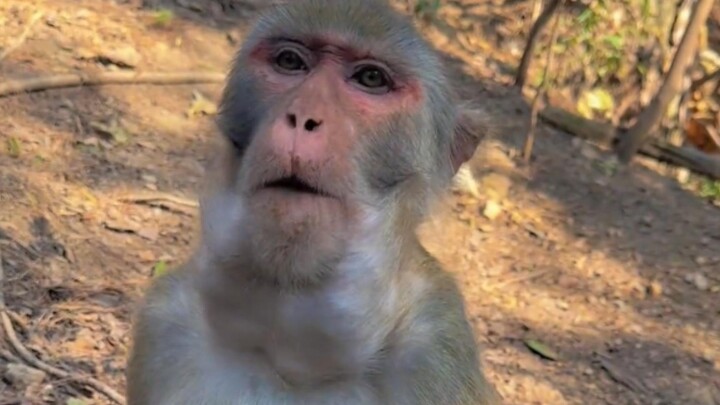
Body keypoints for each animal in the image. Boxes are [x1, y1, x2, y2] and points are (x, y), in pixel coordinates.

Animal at [126, 0, 501, 404]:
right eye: (290, 61)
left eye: (371, 78)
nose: (303, 116)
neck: (286, 346)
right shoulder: (164, 325)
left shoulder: (436, 354)